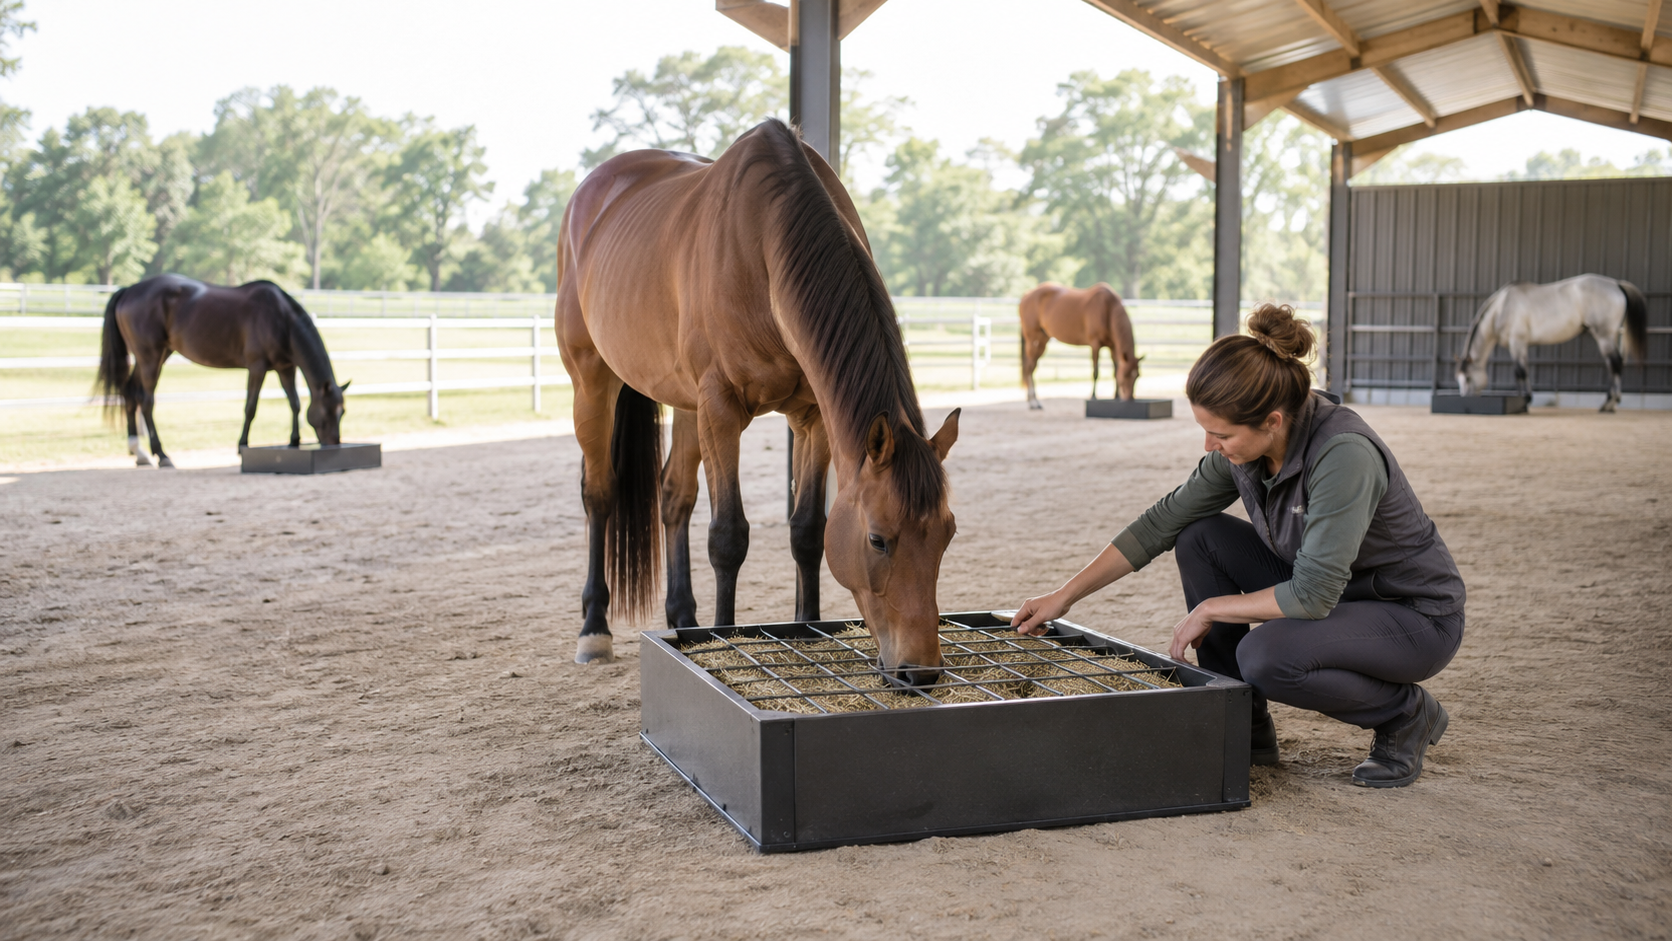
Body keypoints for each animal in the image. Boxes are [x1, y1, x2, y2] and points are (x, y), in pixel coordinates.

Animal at [96, 274, 348, 466]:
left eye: (342, 412)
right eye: (327, 411)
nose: (334, 444)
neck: (280, 318)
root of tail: (128, 291)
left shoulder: (285, 368)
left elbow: (294, 404)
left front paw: (293, 441)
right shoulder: (257, 367)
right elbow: (250, 407)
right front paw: (242, 446)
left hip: (153, 356)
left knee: (130, 393)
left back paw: (140, 453)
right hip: (150, 357)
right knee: (146, 401)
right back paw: (161, 454)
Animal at [555, 119, 960, 685]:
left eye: (947, 534)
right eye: (878, 540)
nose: (920, 672)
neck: (763, 244)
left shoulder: (812, 419)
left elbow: (807, 532)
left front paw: (806, 629)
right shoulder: (721, 411)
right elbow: (728, 537)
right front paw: (725, 638)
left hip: (685, 404)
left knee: (674, 497)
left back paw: (685, 620)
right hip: (592, 380)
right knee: (600, 493)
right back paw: (595, 629)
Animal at [1018, 282, 1141, 410]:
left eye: (1137, 376)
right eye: (1126, 375)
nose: (1130, 398)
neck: (1107, 308)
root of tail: (1026, 295)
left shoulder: (1113, 347)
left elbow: (1115, 371)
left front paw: (1116, 397)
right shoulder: (1095, 345)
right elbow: (1095, 372)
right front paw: (1093, 396)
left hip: (1042, 340)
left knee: (1031, 368)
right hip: (1034, 340)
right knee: (1029, 369)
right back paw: (1034, 402)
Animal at [1457, 274, 1649, 412]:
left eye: (1468, 377)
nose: (1466, 400)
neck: (1502, 308)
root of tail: (1616, 284)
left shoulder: (1516, 342)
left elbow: (1520, 372)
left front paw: (1525, 401)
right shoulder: (1522, 345)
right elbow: (1522, 372)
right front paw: (1522, 399)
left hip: (1604, 336)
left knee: (1614, 364)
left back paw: (1608, 403)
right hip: (1613, 335)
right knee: (1616, 364)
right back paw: (1613, 404)